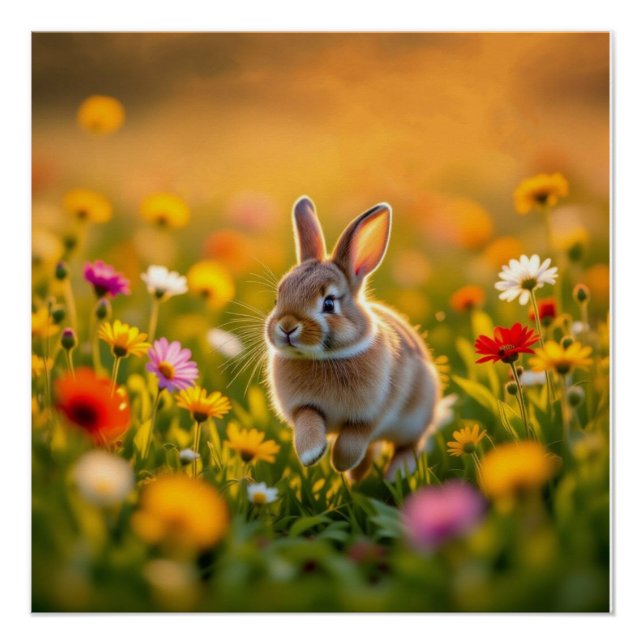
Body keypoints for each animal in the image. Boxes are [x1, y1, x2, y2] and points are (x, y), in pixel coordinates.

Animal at [264, 196, 440, 481]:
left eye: (328, 303)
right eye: (277, 298)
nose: (287, 326)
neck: (325, 357)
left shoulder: (371, 416)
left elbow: (352, 440)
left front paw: (340, 463)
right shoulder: (304, 407)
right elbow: (308, 422)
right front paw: (312, 454)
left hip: (416, 420)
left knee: (408, 447)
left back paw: (393, 476)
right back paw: (359, 476)